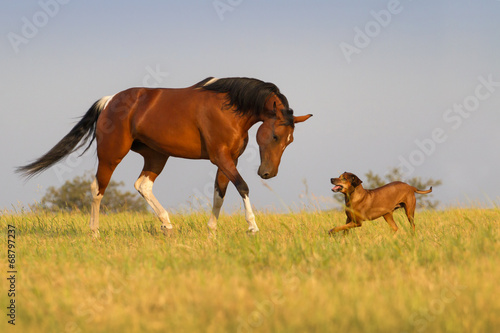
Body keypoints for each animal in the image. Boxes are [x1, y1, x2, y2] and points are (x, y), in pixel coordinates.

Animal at [17, 76, 312, 235]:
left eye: (290, 140)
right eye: (275, 136)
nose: (268, 173)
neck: (230, 108)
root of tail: (110, 101)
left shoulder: (229, 160)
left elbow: (220, 193)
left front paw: (211, 232)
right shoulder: (221, 158)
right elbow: (242, 187)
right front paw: (252, 227)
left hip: (156, 156)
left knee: (142, 185)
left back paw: (167, 224)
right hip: (111, 155)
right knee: (97, 189)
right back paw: (94, 232)